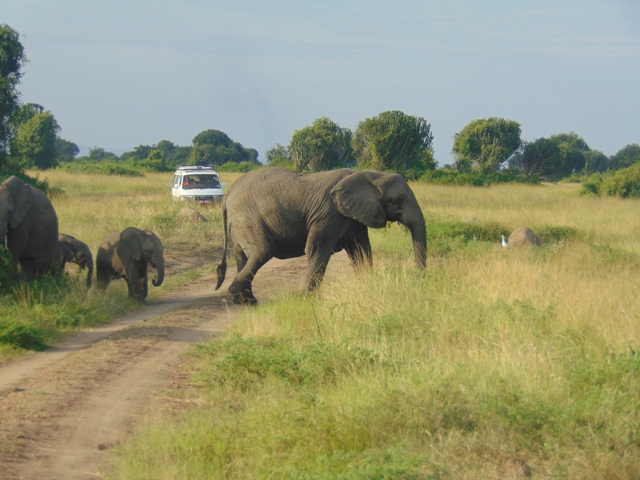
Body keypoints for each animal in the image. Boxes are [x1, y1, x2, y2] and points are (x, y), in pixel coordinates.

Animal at [218, 168, 428, 304]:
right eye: (397, 201)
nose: (418, 277)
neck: (370, 174)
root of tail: (228, 195)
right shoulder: (328, 213)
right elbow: (317, 249)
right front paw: (307, 298)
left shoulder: (354, 217)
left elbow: (361, 251)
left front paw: (367, 285)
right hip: (248, 217)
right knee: (263, 251)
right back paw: (242, 296)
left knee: (242, 254)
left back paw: (245, 300)